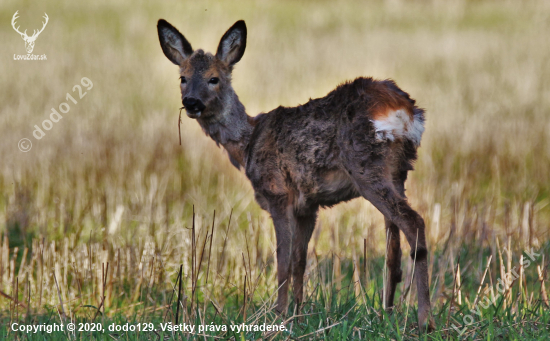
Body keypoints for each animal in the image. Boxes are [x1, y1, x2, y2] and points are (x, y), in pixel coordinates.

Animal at [158, 18, 436, 330]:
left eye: (214, 78)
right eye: (182, 77)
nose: (192, 102)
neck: (247, 143)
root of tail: (406, 110)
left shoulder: (278, 193)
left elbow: (283, 260)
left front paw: (278, 314)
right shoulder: (308, 205)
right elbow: (300, 261)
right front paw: (299, 314)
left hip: (367, 167)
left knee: (413, 222)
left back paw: (425, 319)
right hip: (399, 171)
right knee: (393, 244)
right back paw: (387, 312)